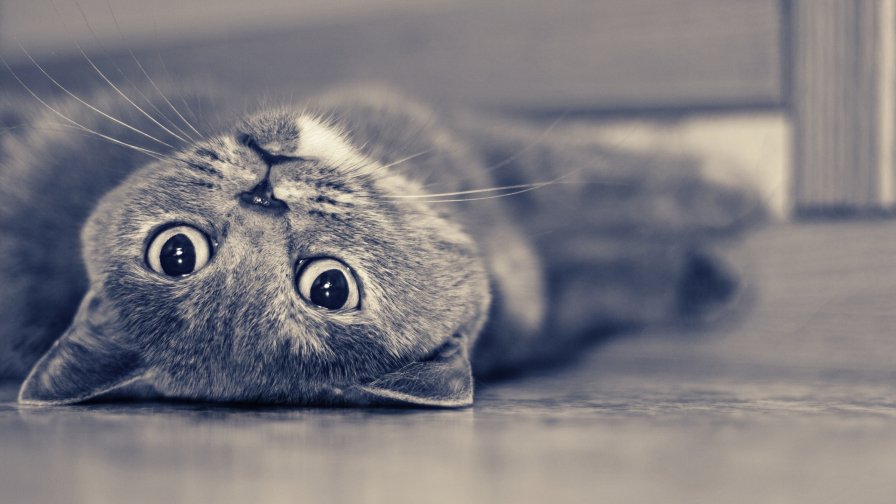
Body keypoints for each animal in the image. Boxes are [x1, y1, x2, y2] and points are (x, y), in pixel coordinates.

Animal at [0, 81, 764, 406]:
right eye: (330, 287)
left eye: (175, 252)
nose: (264, 192)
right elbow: (597, 171)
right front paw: (739, 194)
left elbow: (603, 263)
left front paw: (708, 270)